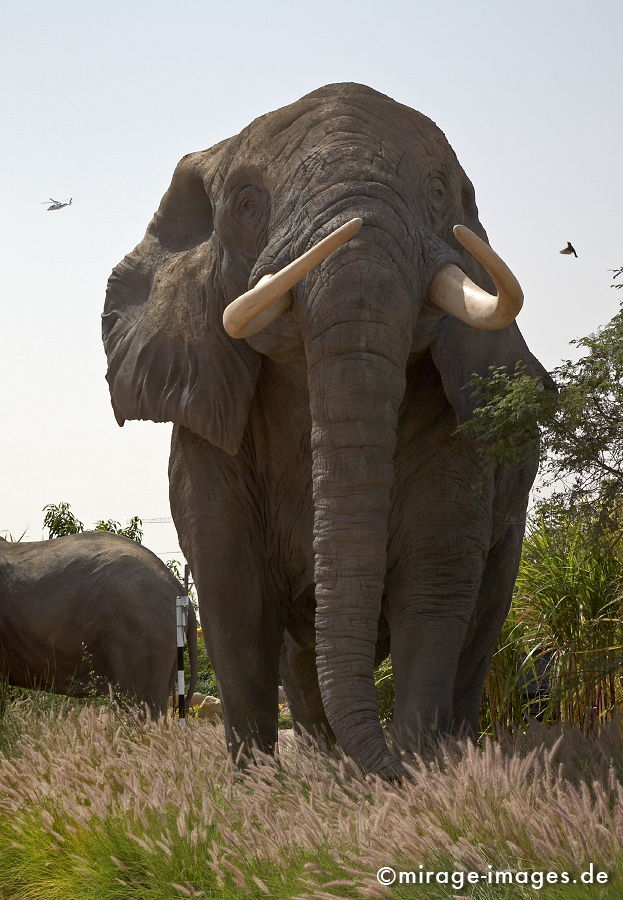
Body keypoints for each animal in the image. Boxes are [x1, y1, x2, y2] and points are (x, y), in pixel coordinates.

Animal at [102, 82, 547, 778]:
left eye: (439, 195)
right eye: (247, 205)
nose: (393, 767)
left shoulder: (453, 425)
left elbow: (434, 577)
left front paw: (421, 772)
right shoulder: (207, 436)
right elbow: (231, 589)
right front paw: (256, 786)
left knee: (480, 623)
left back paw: (439, 751)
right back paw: (328, 763)